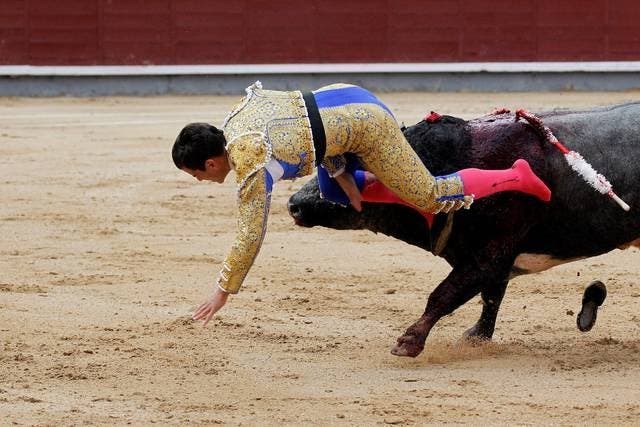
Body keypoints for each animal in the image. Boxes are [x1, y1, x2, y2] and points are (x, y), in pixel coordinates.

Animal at [286, 103, 640, 358]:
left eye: (343, 177)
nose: (294, 205)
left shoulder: (490, 252)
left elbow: (445, 294)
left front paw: (408, 341)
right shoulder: (489, 257)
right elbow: (489, 297)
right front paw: (476, 338)